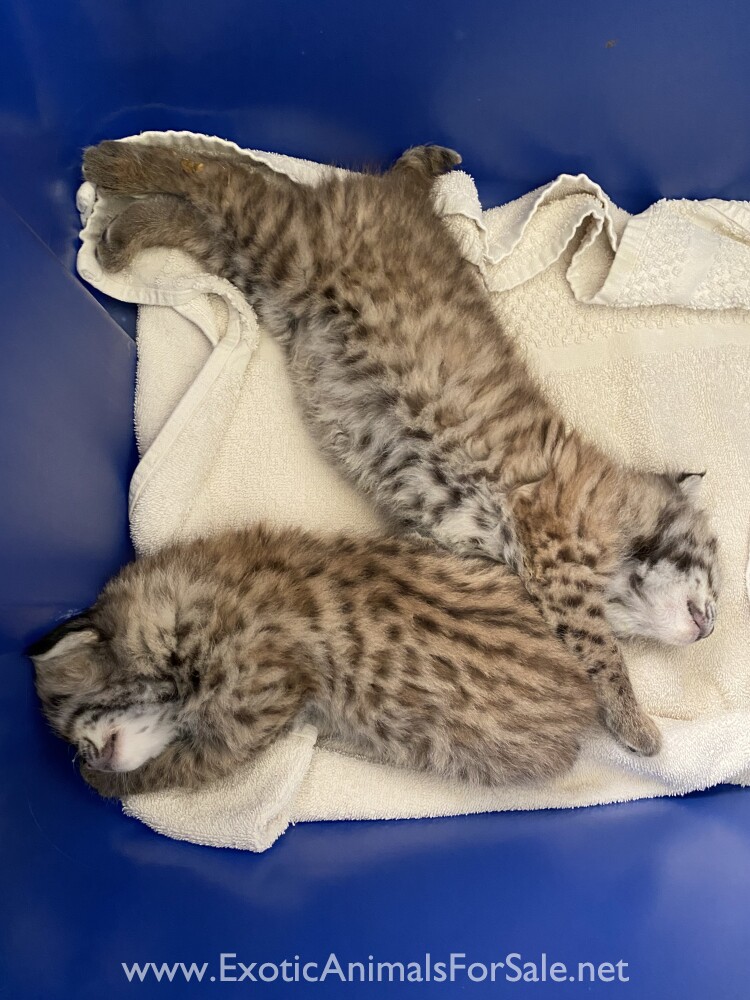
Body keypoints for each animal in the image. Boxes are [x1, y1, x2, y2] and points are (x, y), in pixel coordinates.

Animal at [29, 525, 599, 797]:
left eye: (70, 723)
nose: (87, 757)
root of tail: (584, 701)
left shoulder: (253, 711)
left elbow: (179, 766)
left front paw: (105, 785)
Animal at [82, 139, 720, 757]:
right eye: (712, 569)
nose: (713, 627)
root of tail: (405, 199)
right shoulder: (552, 542)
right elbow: (601, 651)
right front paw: (637, 724)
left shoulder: (457, 547)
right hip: (290, 245)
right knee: (217, 176)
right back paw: (114, 164)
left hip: (268, 280)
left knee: (205, 224)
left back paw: (122, 232)